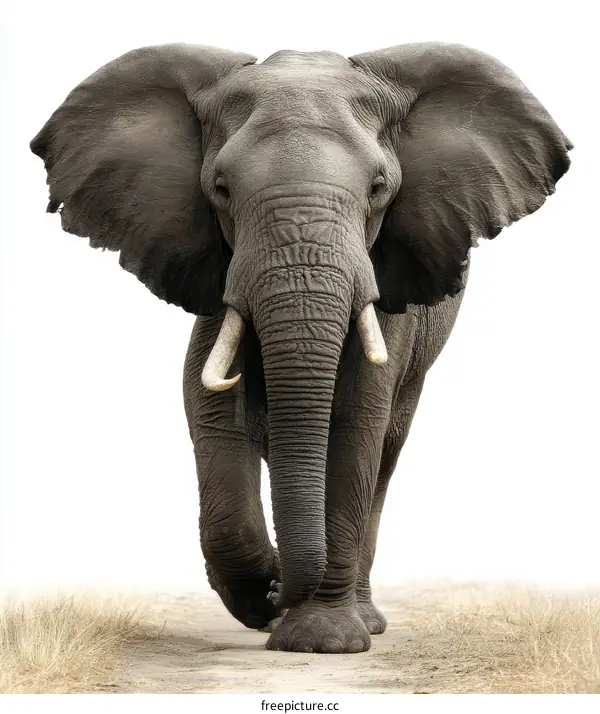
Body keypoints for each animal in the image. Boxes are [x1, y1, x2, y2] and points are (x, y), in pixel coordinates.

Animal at [30, 41, 572, 654]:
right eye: (220, 189)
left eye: (379, 188)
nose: (275, 593)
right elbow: (208, 402)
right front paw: (264, 589)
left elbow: (355, 417)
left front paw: (321, 641)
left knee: (384, 455)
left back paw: (365, 621)